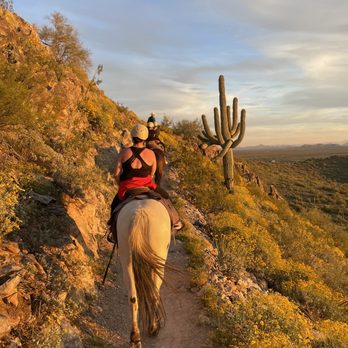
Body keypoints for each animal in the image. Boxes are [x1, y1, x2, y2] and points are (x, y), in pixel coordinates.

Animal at [117, 197, 171, 346]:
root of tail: (138, 217)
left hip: (126, 256)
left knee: (133, 297)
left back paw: (135, 337)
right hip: (158, 261)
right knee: (153, 292)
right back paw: (153, 327)